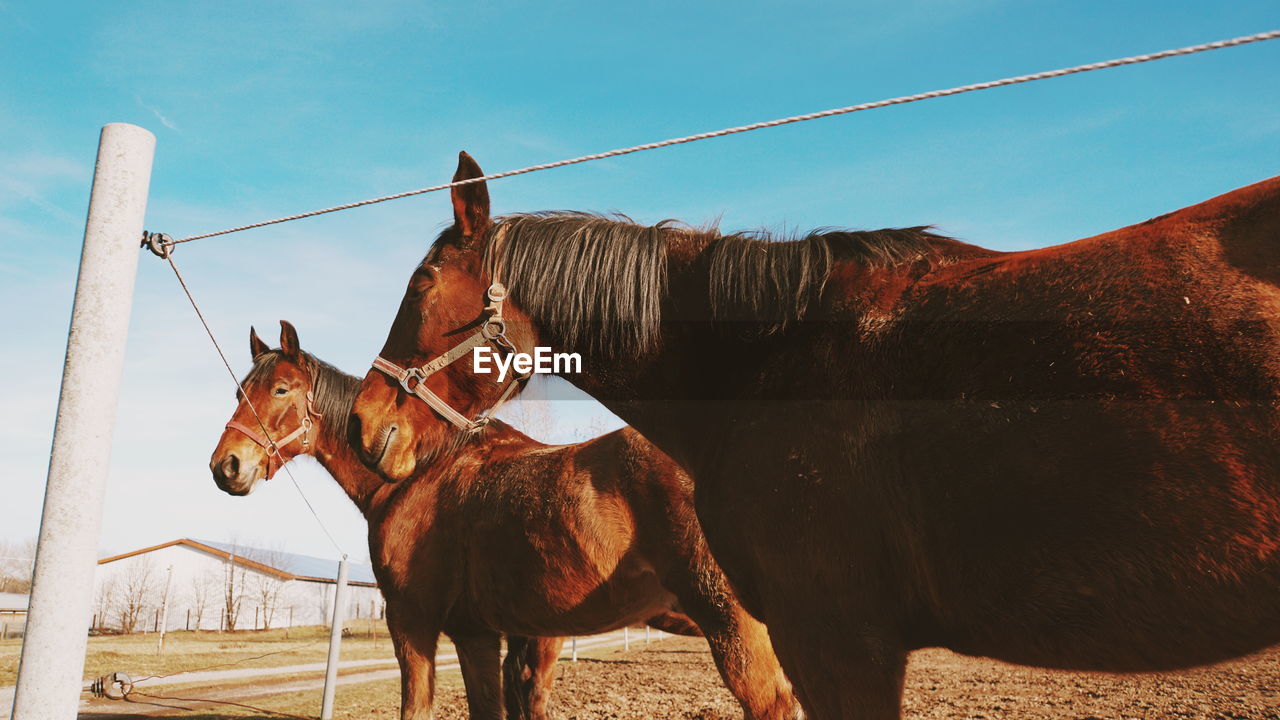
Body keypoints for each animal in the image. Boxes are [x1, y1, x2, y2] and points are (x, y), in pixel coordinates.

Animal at [209, 322, 793, 717]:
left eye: (280, 390)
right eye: (238, 391)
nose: (226, 466)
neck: (419, 472)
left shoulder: (415, 623)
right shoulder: (483, 633)